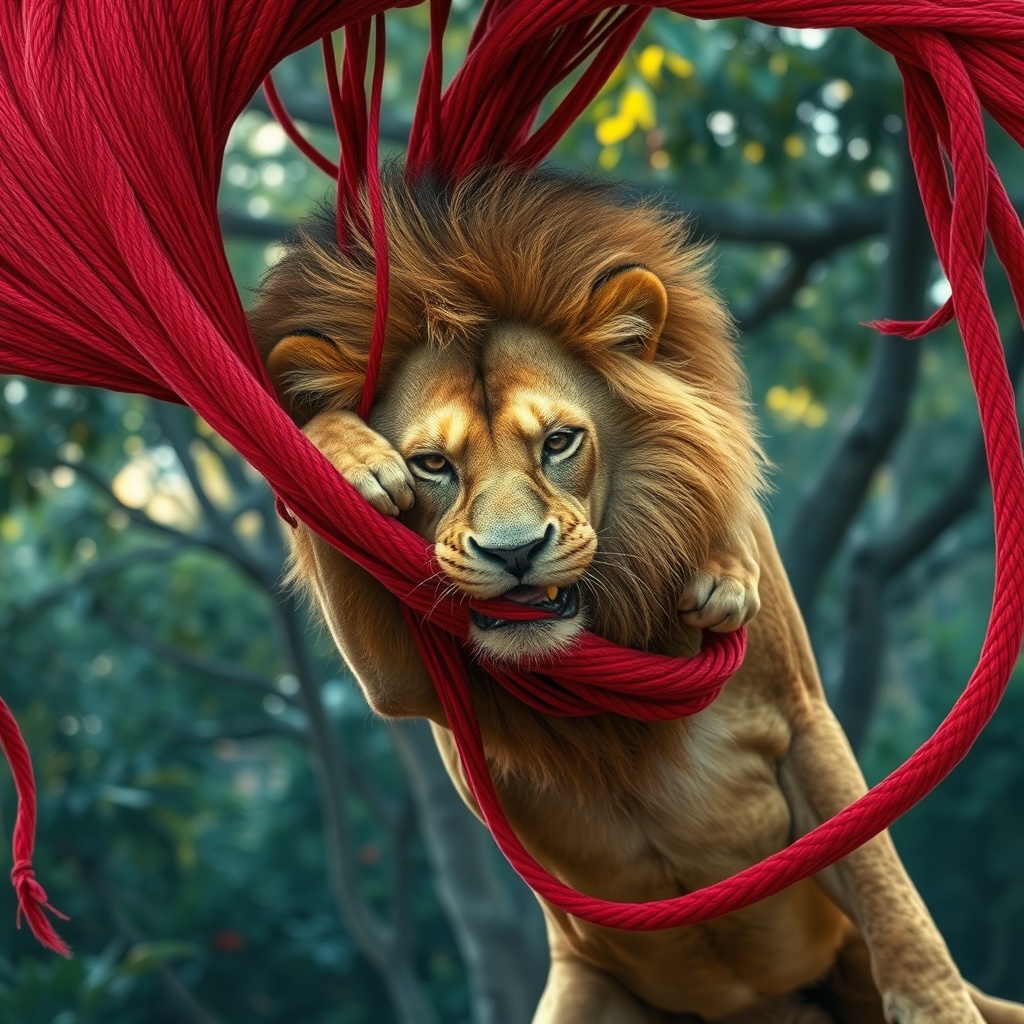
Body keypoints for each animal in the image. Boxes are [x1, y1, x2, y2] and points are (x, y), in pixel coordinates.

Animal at [250, 168, 1023, 1024]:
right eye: (432, 465)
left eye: (558, 442)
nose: (514, 553)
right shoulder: (404, 675)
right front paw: (351, 454)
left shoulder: (802, 716)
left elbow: (886, 886)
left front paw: (721, 574)